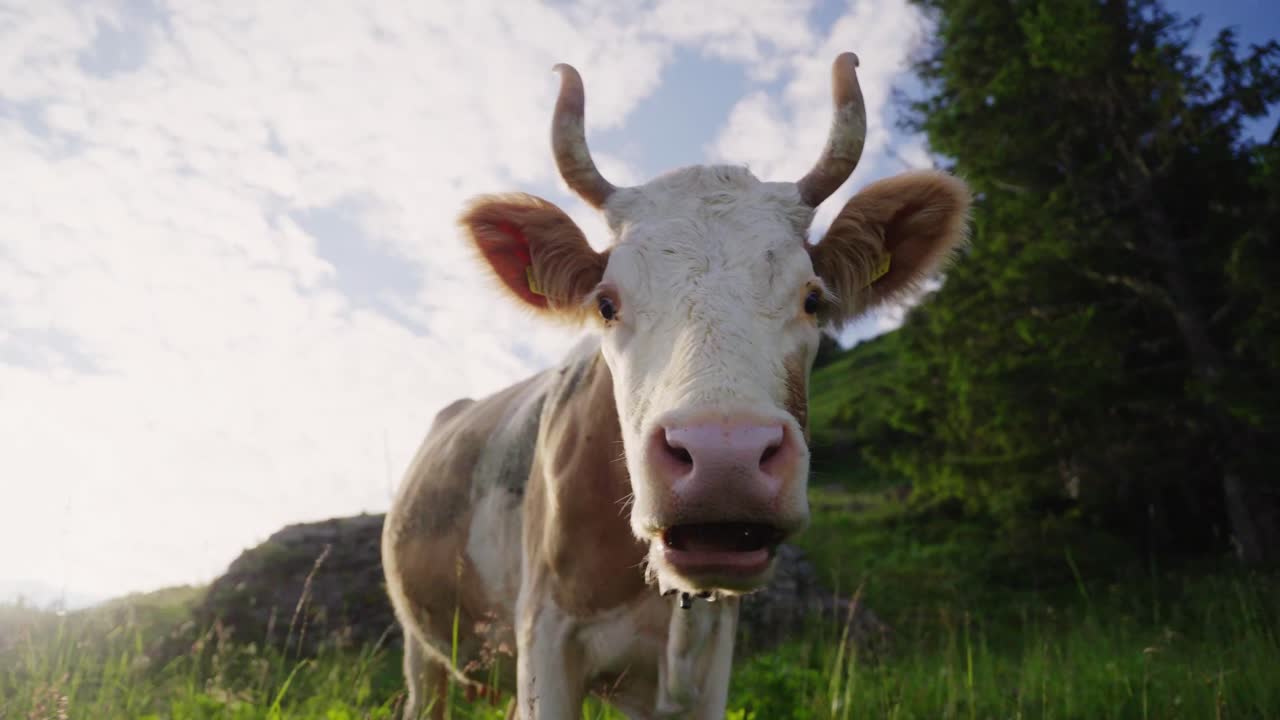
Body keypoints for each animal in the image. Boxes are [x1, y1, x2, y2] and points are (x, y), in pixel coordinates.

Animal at [382, 52, 971, 719]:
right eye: (606, 304)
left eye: (813, 299)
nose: (724, 459)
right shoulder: (548, 638)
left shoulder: (710, 662)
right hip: (423, 650)